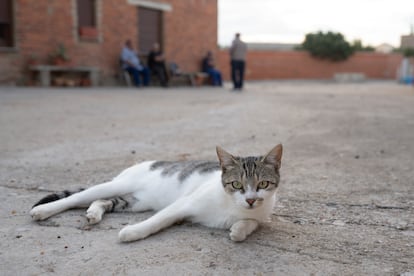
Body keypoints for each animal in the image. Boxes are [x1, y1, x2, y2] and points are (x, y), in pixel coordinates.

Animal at [29, 144, 282, 242]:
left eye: (263, 184)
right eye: (237, 185)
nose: (251, 200)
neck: (232, 206)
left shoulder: (261, 213)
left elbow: (252, 222)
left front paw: (239, 229)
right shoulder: (183, 204)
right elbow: (157, 220)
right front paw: (132, 232)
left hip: (136, 202)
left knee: (104, 201)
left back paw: (94, 213)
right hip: (116, 185)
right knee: (77, 197)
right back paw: (43, 210)